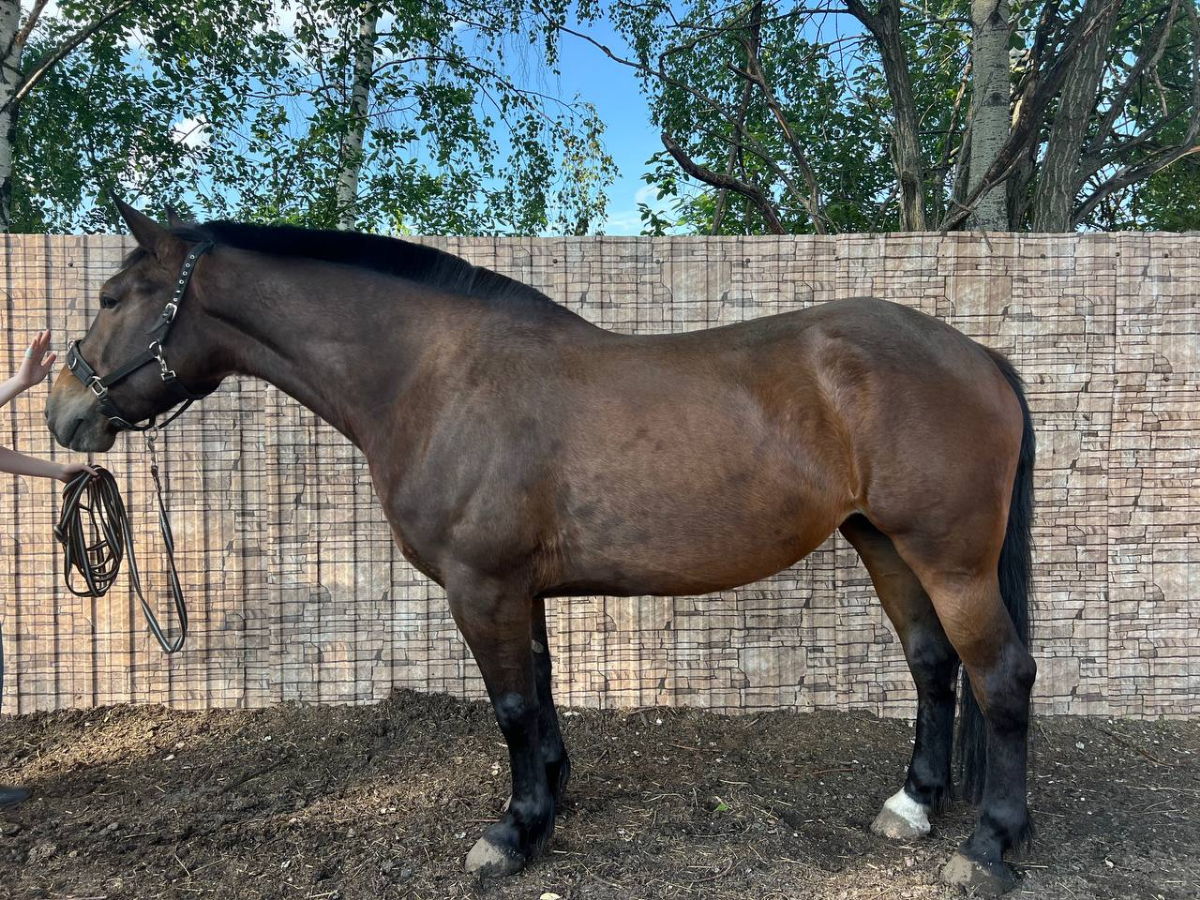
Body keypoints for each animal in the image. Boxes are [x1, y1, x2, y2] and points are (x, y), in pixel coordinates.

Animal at [46, 201, 1037, 895]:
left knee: (1002, 677)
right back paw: (913, 805)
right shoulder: (516, 589)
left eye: (111, 298)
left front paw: (512, 834)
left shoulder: (479, 586)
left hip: (949, 559)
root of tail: (980, 355)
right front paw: (550, 802)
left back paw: (990, 846)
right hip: (884, 544)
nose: (64, 413)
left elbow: (513, 706)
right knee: (931, 664)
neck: (434, 378)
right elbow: (543, 691)